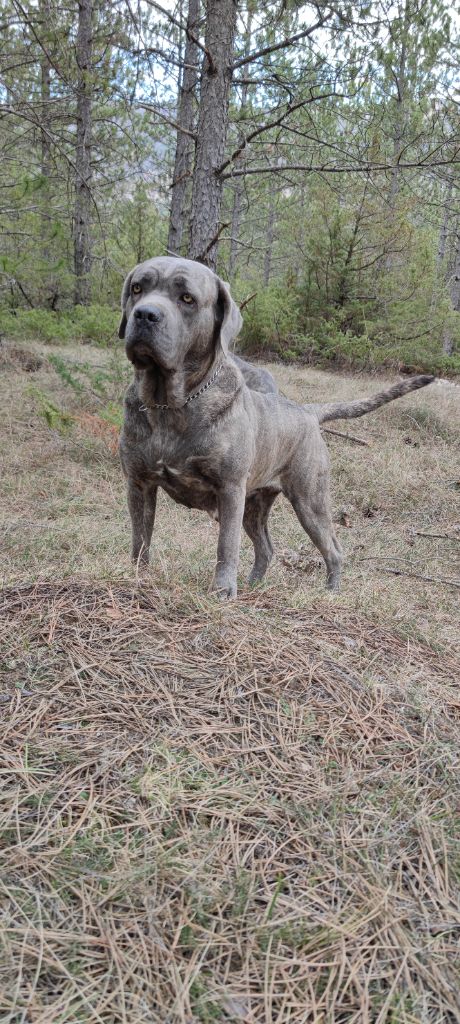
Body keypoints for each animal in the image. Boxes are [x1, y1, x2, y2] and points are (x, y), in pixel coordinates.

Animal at [118, 256, 434, 598]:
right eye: (137, 288)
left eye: (187, 298)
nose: (145, 314)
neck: (169, 405)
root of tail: (308, 411)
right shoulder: (139, 483)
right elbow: (140, 537)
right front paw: (137, 576)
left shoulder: (230, 490)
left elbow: (226, 546)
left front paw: (222, 591)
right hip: (255, 507)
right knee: (266, 548)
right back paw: (254, 584)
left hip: (309, 502)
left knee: (333, 549)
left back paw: (331, 591)